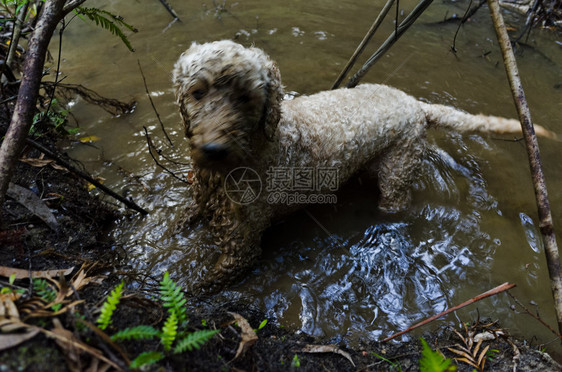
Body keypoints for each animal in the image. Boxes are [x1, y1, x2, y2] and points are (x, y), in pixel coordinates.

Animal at [172, 40, 556, 290]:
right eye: (197, 92)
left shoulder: (241, 251)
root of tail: (417, 105)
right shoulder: (205, 203)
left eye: (245, 97)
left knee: (398, 202)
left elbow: (200, 288)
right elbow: (186, 218)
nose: (212, 149)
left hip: (397, 173)